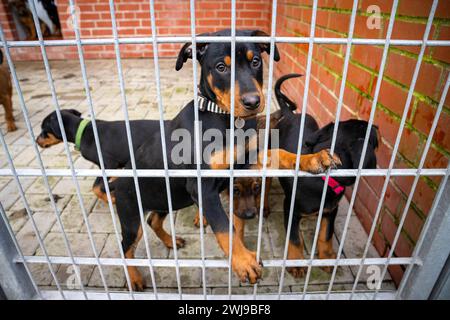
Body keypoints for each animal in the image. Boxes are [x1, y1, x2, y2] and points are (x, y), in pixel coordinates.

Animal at [112, 30, 342, 290]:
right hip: (132, 216)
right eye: (221, 67)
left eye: (256, 62)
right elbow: (224, 227)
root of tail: (116, 181)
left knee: (153, 220)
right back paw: (135, 278)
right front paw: (244, 261)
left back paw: (171, 241)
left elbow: (279, 153)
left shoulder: (246, 160)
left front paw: (314, 158)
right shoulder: (201, 186)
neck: (224, 118)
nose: (252, 102)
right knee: (126, 247)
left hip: (167, 198)